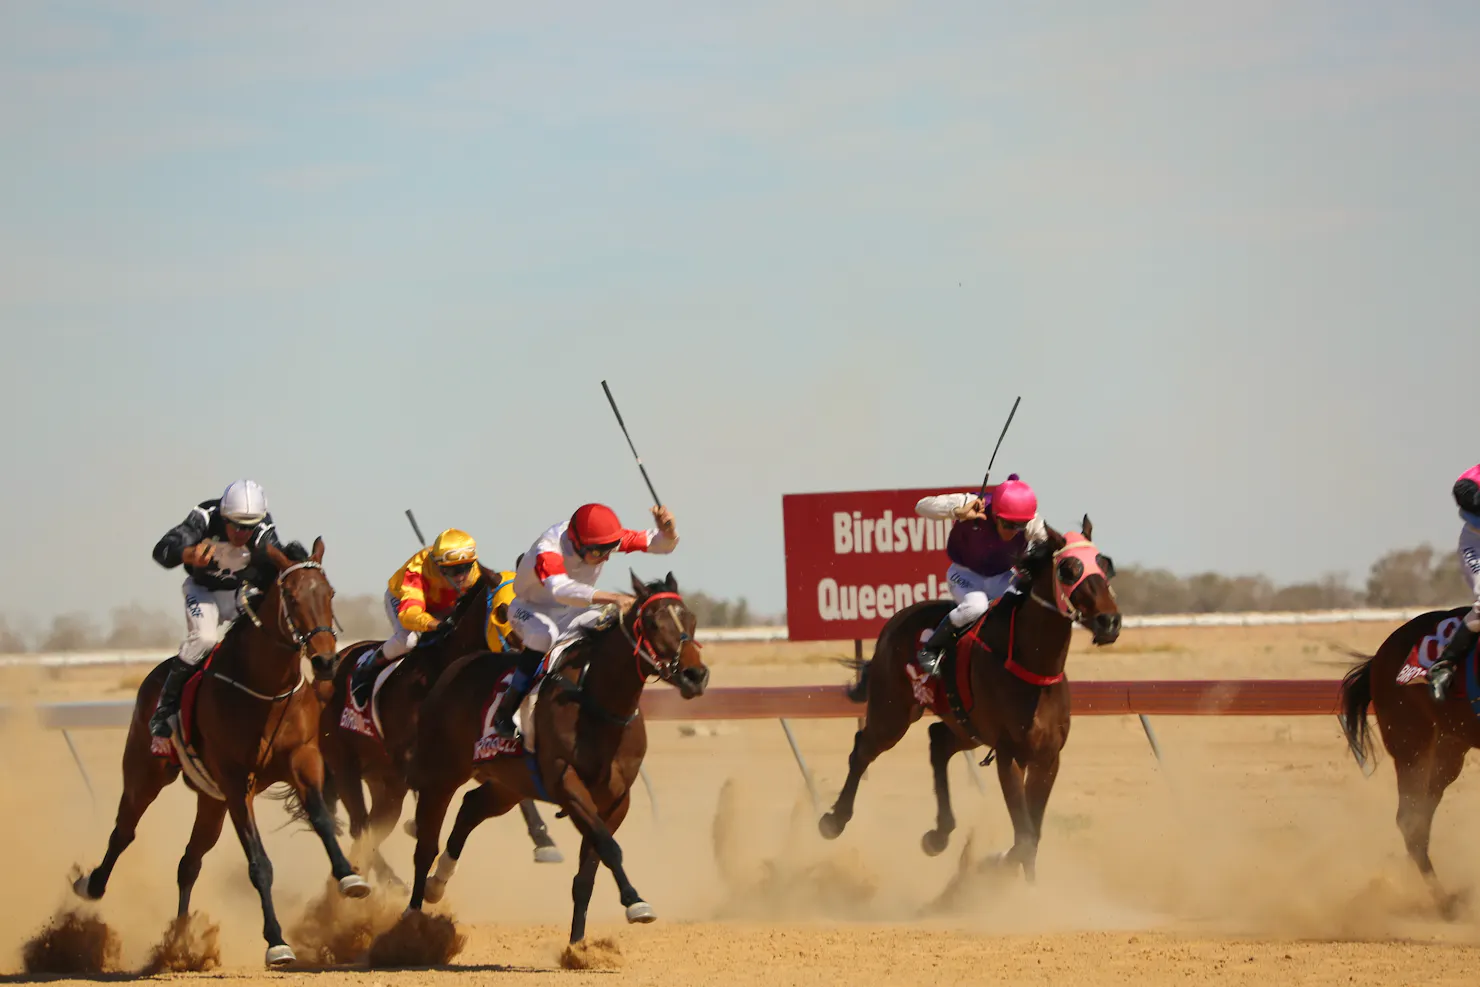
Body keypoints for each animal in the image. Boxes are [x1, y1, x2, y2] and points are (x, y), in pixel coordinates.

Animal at [73, 541, 365, 964]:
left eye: (329, 593)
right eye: (293, 598)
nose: (326, 661)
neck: (265, 689)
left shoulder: (302, 759)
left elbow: (323, 821)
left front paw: (350, 877)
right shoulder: (236, 783)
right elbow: (259, 863)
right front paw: (276, 941)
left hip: (211, 802)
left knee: (189, 862)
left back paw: (179, 942)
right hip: (147, 773)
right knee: (123, 832)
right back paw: (93, 885)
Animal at [318, 562, 559, 887]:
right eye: (503, 611)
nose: (534, 659)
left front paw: (544, 842)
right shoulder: (415, 762)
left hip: (380, 777)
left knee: (371, 827)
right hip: (344, 763)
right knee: (361, 825)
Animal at [402, 574, 707, 947]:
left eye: (690, 619)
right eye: (651, 622)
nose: (695, 675)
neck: (599, 706)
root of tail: (454, 667)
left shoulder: (617, 798)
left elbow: (588, 873)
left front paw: (578, 947)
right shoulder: (567, 784)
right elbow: (609, 847)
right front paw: (635, 902)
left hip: (509, 784)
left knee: (471, 807)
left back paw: (437, 883)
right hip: (441, 773)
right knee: (425, 844)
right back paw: (412, 918)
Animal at [816, 520, 1112, 881]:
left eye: (1106, 565)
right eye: (1069, 569)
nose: (1110, 621)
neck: (1033, 669)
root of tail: (896, 620)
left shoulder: (1048, 757)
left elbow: (1032, 836)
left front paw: (1024, 885)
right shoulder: (1009, 754)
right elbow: (1025, 836)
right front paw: (994, 868)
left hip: (967, 726)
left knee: (938, 741)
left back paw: (938, 834)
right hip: (893, 712)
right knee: (863, 748)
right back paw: (834, 820)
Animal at [1337, 606, 1474, 923]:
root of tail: (1378, 657)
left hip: (1448, 748)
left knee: (1419, 820)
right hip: (1411, 744)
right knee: (1410, 821)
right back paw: (1446, 903)